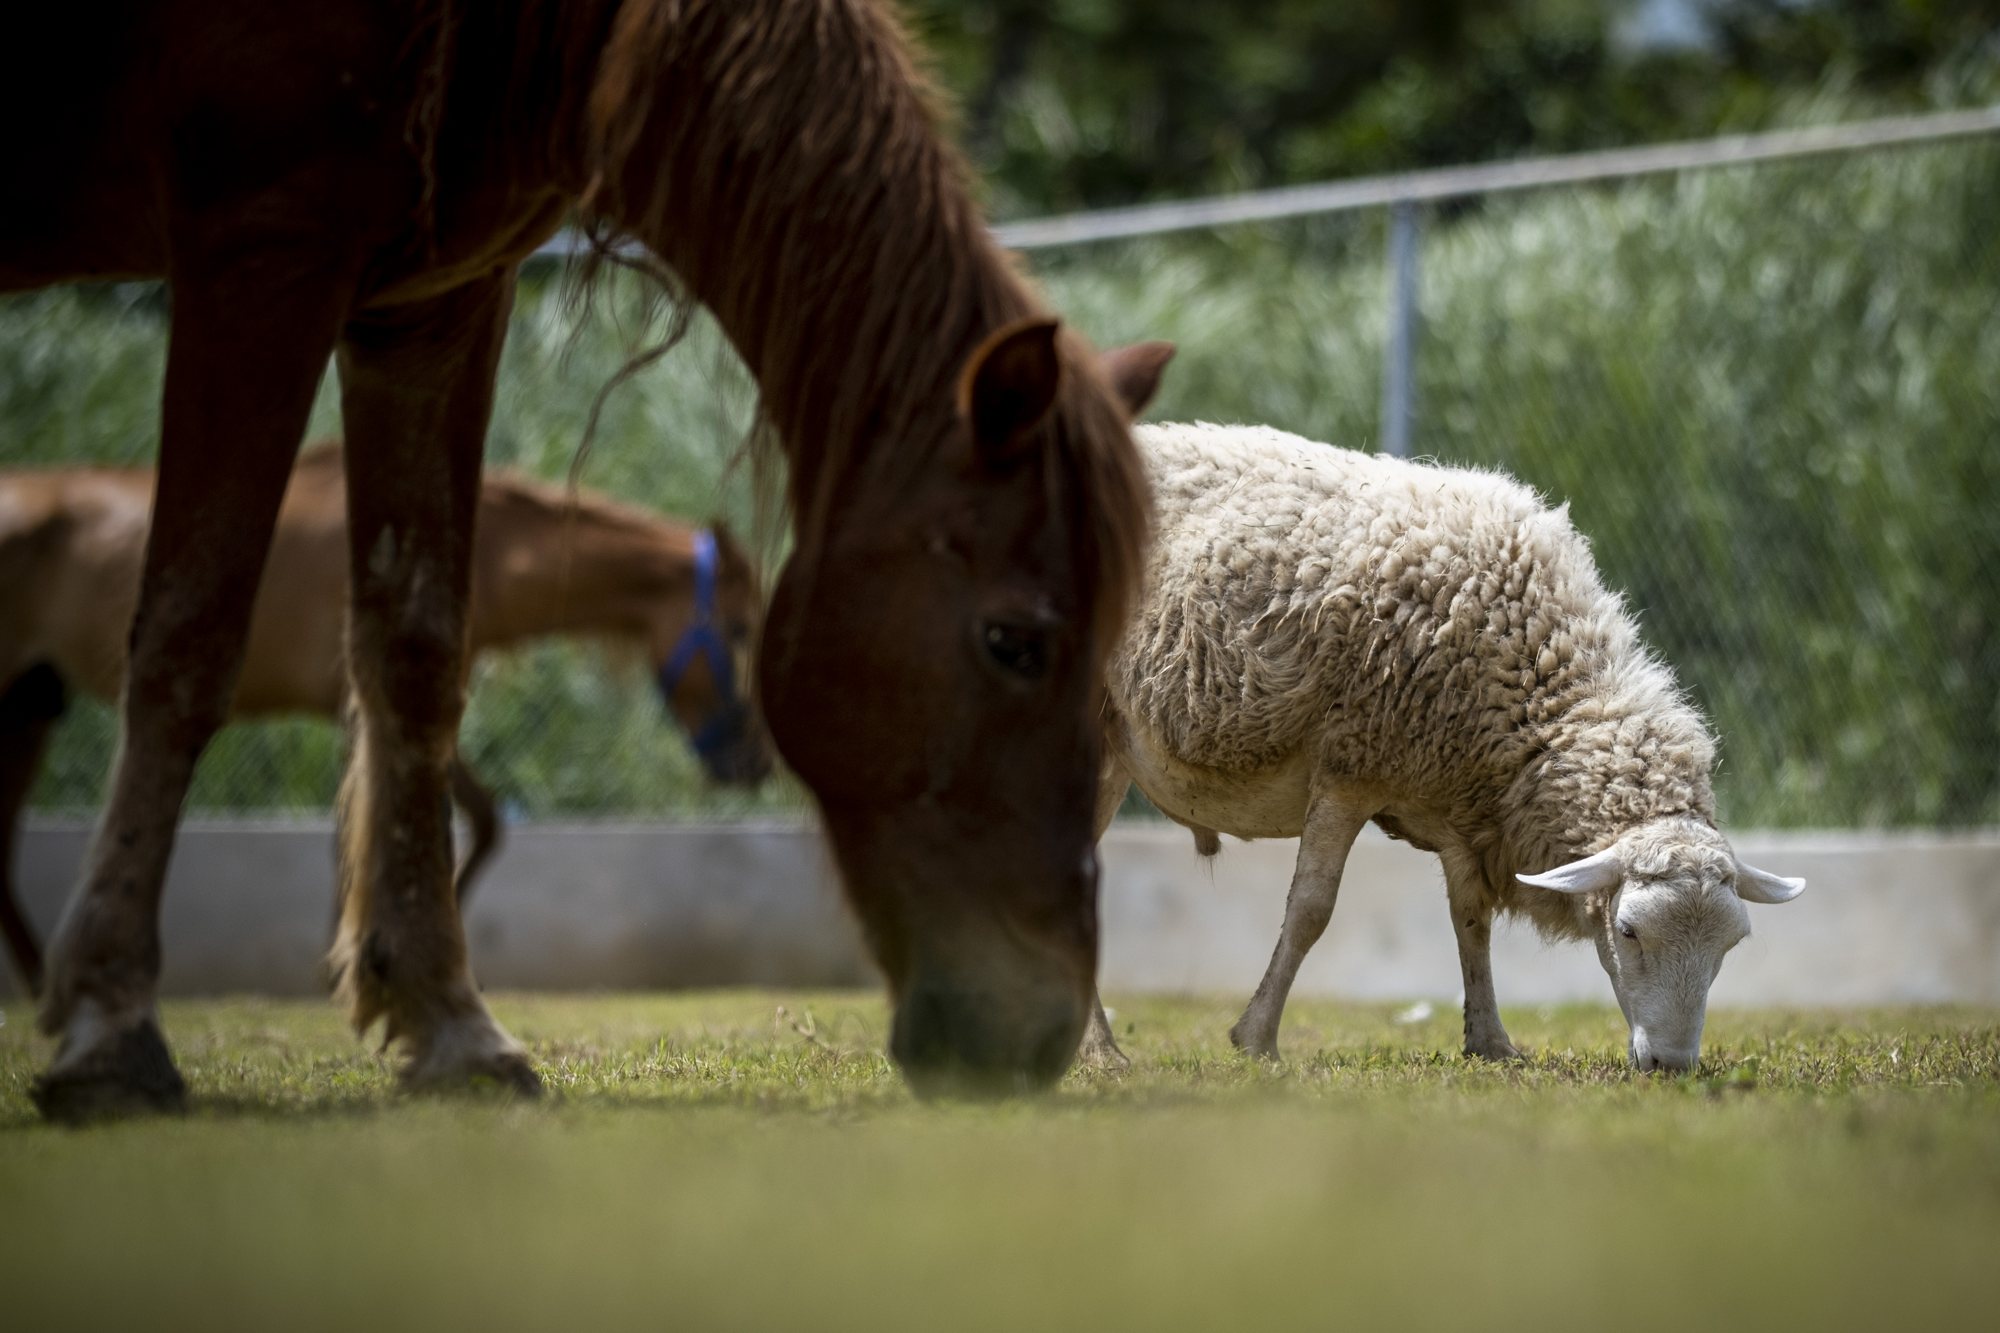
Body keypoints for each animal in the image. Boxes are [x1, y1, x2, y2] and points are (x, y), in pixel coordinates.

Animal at [0, 441, 774, 996]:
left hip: (31, 704)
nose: (758, 760)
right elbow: (372, 836)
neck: (483, 551)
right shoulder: (367, 712)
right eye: (740, 630)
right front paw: (357, 966)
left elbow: (480, 824)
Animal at [1078, 423, 1800, 1072]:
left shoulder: (1462, 809)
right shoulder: (1353, 765)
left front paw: (1490, 1041)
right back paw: (1102, 1051)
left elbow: (1470, 920)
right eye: (1627, 932)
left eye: (1730, 946)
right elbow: (1311, 910)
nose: (1673, 1064)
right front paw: (1257, 1039)